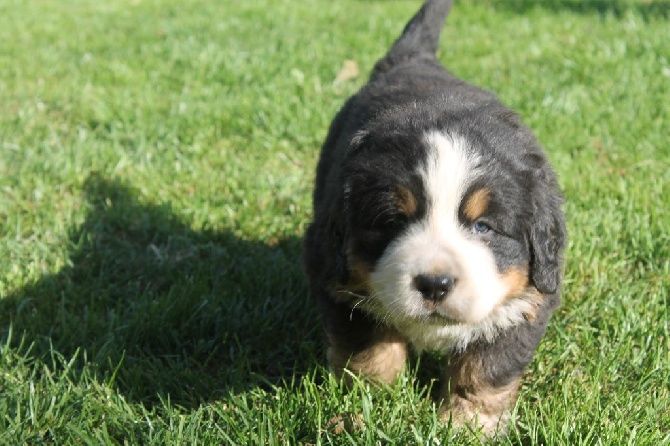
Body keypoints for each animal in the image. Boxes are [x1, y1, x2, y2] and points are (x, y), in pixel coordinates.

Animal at [304, 0, 568, 436]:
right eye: (393, 222)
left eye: (483, 227)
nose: (434, 283)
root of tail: (414, 59)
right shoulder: (332, 275)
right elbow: (368, 346)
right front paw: (374, 401)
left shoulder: (529, 299)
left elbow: (486, 368)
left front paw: (467, 425)